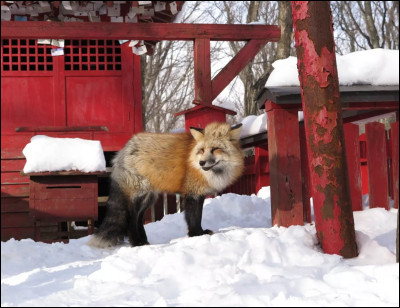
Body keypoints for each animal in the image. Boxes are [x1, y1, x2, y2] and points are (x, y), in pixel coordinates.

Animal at [87, 121, 244, 248]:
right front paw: (197, 235)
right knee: (131, 217)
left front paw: (199, 233)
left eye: (216, 149)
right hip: (139, 194)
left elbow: (197, 216)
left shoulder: (198, 193)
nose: (201, 162)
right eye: (202, 150)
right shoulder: (192, 193)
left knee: (138, 218)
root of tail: (122, 151)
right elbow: (194, 217)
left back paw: (143, 240)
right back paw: (137, 242)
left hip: (149, 197)